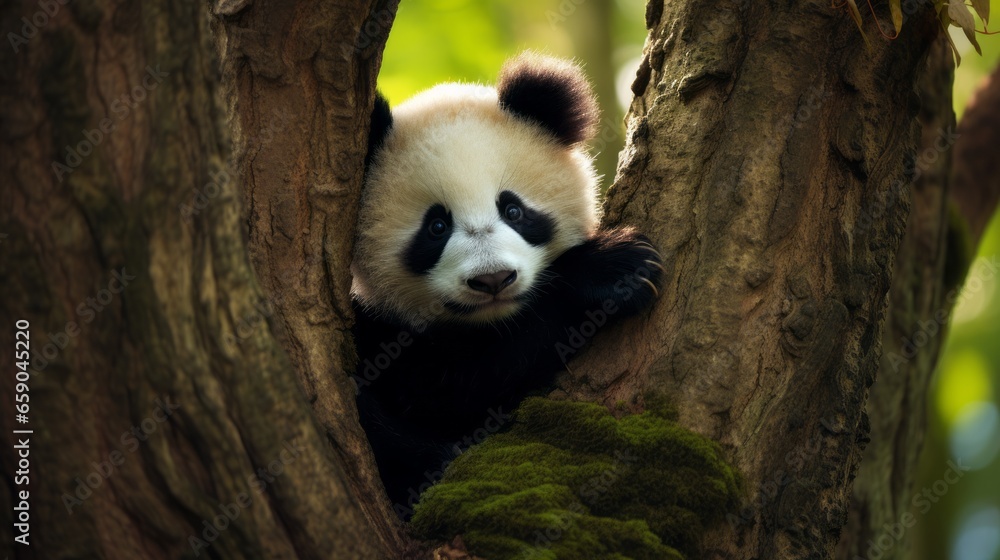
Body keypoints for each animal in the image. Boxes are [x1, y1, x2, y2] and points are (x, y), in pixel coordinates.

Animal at [352, 52, 663, 518]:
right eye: (436, 226)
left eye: (513, 210)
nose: (492, 279)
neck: (491, 321)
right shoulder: (380, 339)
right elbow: (456, 388)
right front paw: (613, 269)